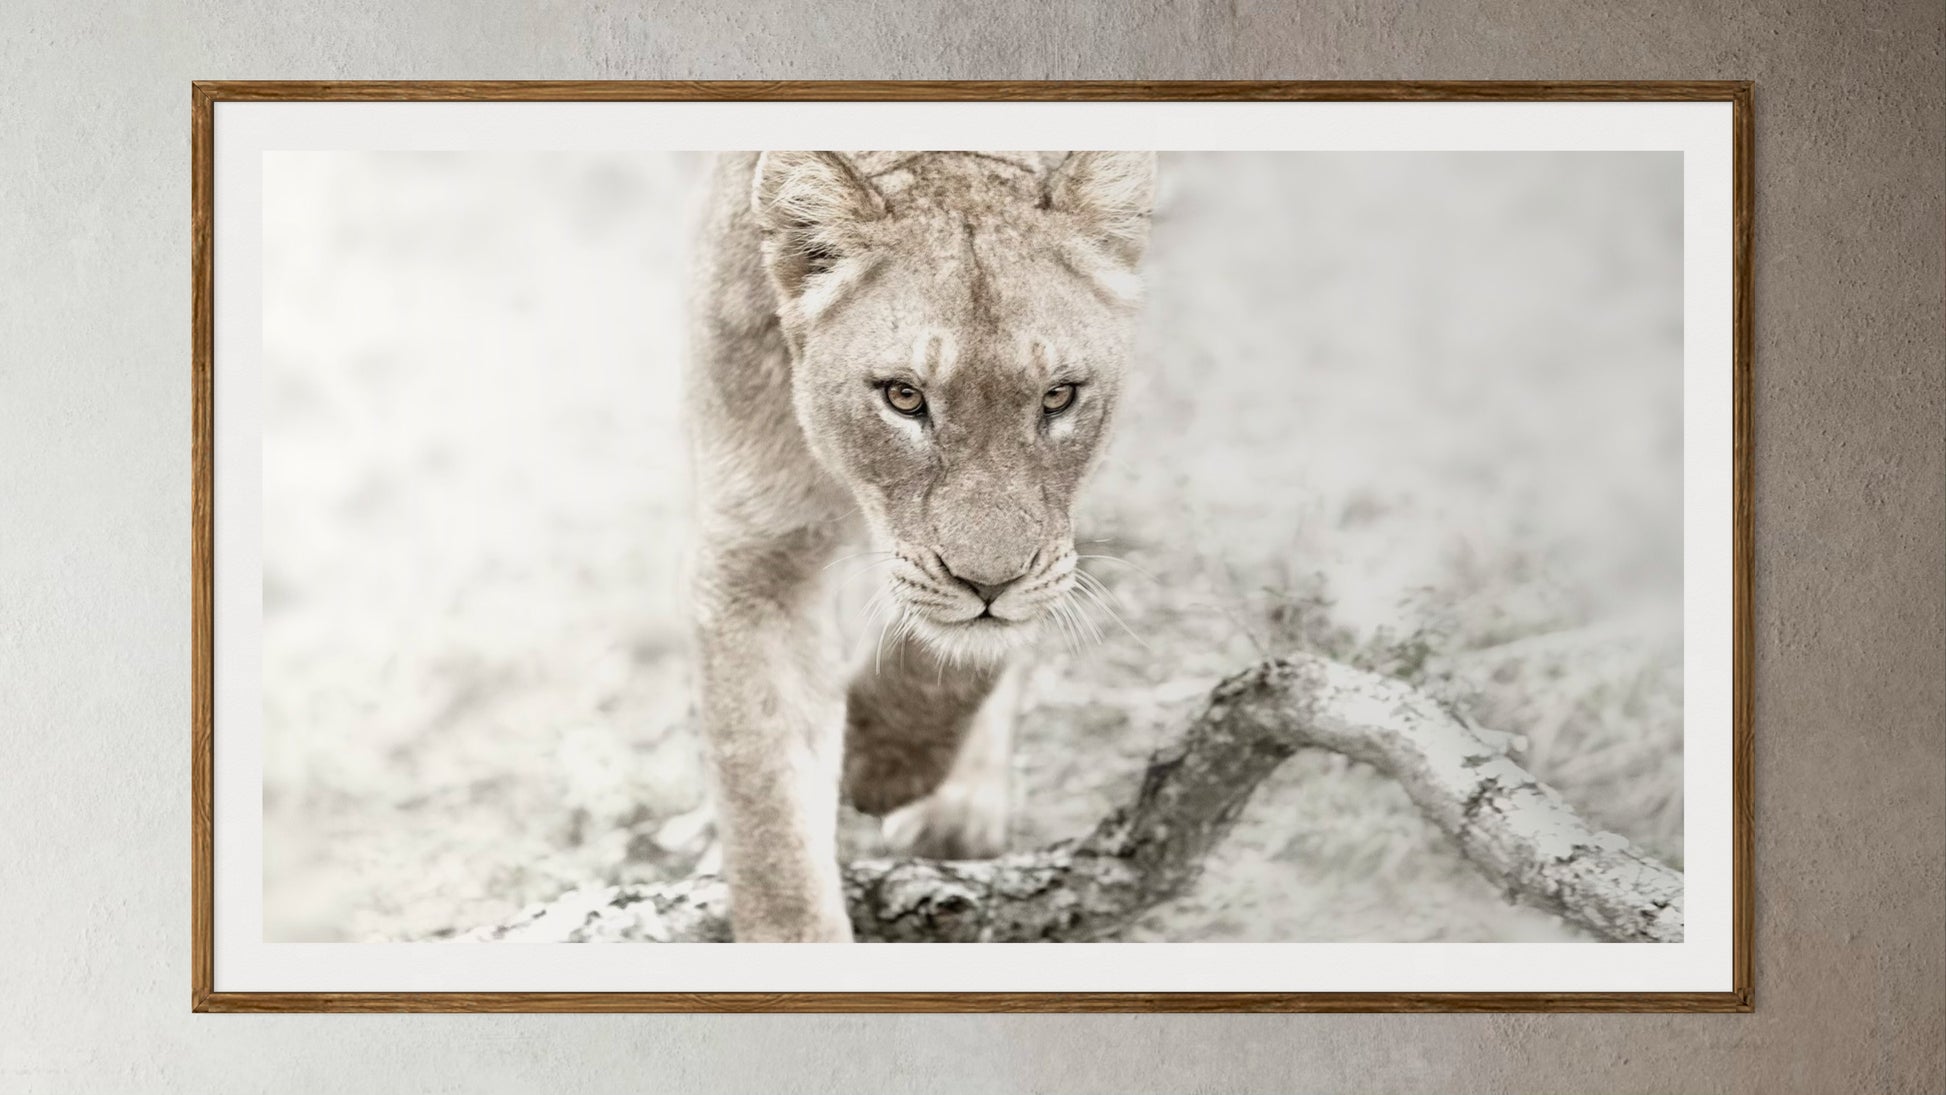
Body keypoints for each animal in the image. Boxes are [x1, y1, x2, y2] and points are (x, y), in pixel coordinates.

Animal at [685, 149, 1155, 941]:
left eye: (1059, 396)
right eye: (903, 397)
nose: (989, 586)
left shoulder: (1052, 531)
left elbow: (958, 646)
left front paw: (883, 761)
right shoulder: (760, 543)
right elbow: (768, 803)